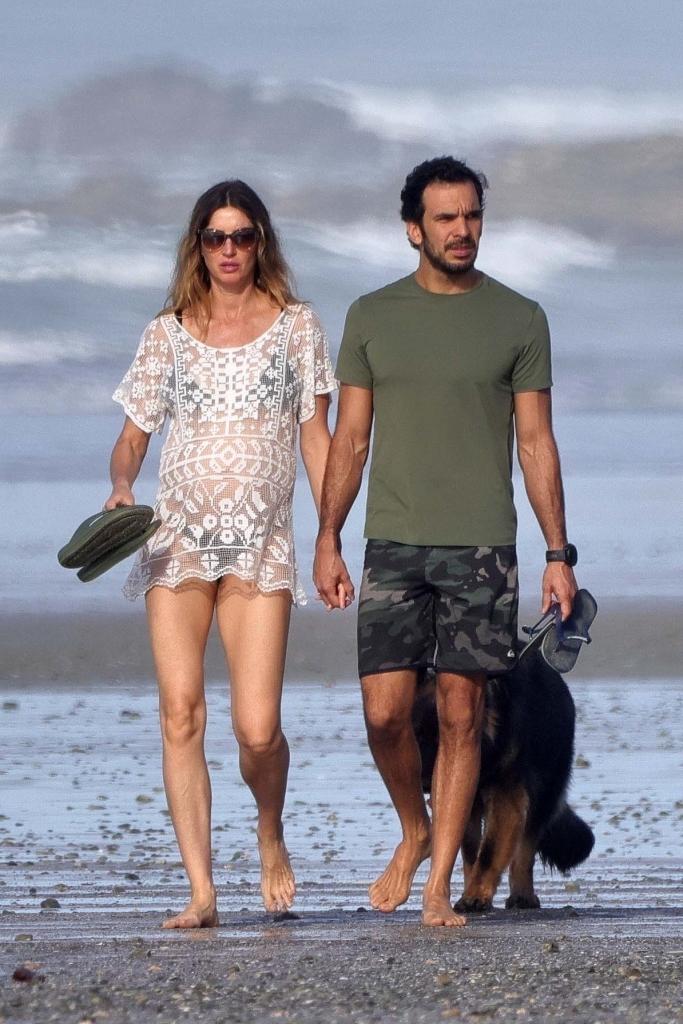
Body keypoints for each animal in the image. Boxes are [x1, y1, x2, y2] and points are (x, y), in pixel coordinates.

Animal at [413, 651, 593, 909]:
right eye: (417, 737)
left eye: (444, 742)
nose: (426, 783)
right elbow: (470, 850)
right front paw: (471, 888)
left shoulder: (505, 797)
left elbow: (489, 852)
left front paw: (475, 895)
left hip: (543, 793)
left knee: (525, 851)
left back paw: (523, 895)